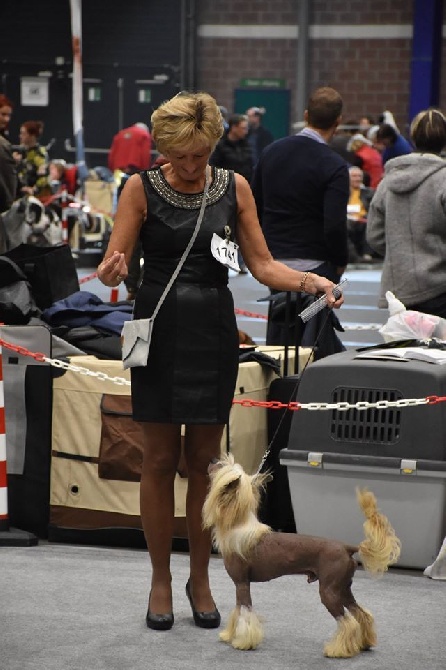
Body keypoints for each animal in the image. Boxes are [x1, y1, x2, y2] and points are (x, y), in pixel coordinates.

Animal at [202, 456, 400, 660]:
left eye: (219, 467)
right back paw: (364, 643)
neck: (239, 527)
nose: (212, 459)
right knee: (362, 614)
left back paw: (337, 650)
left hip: (329, 591)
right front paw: (230, 635)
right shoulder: (240, 585)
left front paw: (244, 642)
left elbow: (246, 612)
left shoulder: (242, 583)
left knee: (347, 621)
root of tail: (347, 547)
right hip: (343, 588)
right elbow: (237, 611)